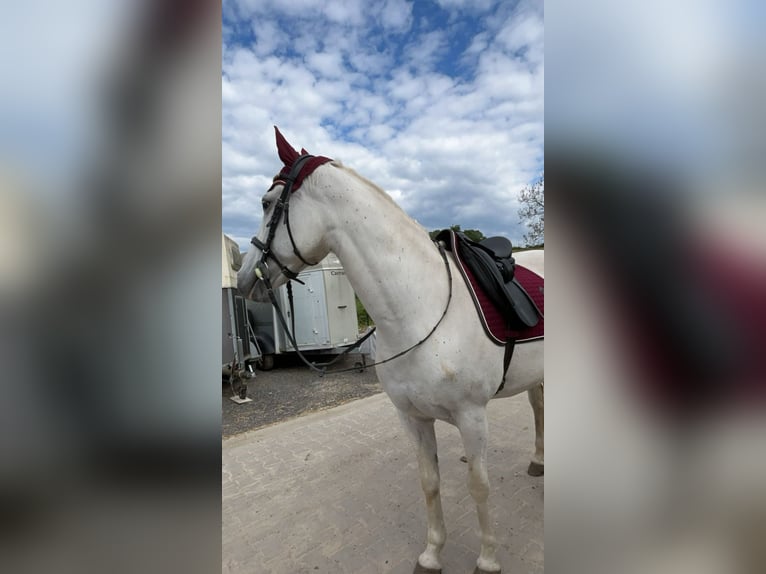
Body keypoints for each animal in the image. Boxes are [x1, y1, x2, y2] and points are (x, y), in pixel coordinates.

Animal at [237, 130, 544, 574]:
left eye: (265, 203)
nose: (244, 279)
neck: (422, 306)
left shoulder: (472, 416)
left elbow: (479, 487)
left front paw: (487, 559)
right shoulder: (412, 418)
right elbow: (429, 483)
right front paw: (431, 555)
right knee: (538, 407)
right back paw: (539, 462)